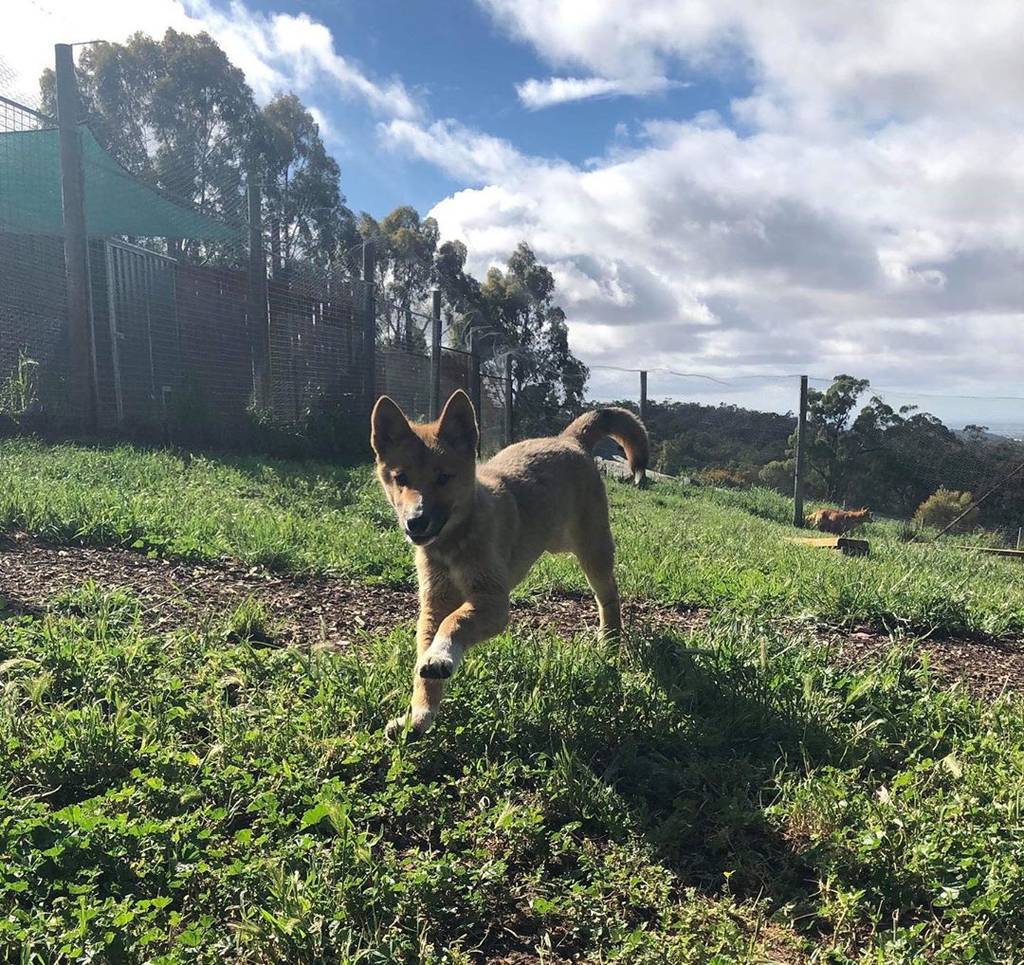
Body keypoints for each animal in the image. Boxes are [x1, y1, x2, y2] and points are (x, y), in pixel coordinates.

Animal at [372, 389, 651, 737]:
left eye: (443, 477)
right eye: (401, 478)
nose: (416, 522)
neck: (455, 541)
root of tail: (568, 439)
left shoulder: (493, 602)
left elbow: (455, 622)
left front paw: (439, 657)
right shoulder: (433, 605)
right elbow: (425, 664)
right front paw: (419, 716)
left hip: (592, 550)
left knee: (608, 596)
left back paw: (610, 643)